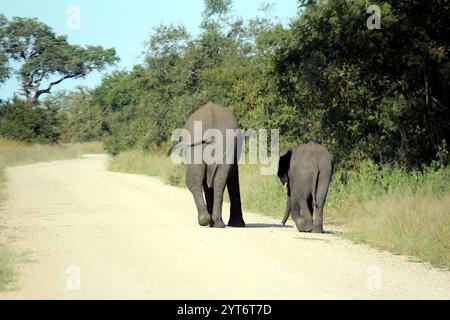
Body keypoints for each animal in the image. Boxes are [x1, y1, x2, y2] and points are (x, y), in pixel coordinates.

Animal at [170, 101, 246, 229]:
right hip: (201, 146)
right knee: (216, 180)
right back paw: (214, 222)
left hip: (201, 146)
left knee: (203, 180)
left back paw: (209, 221)